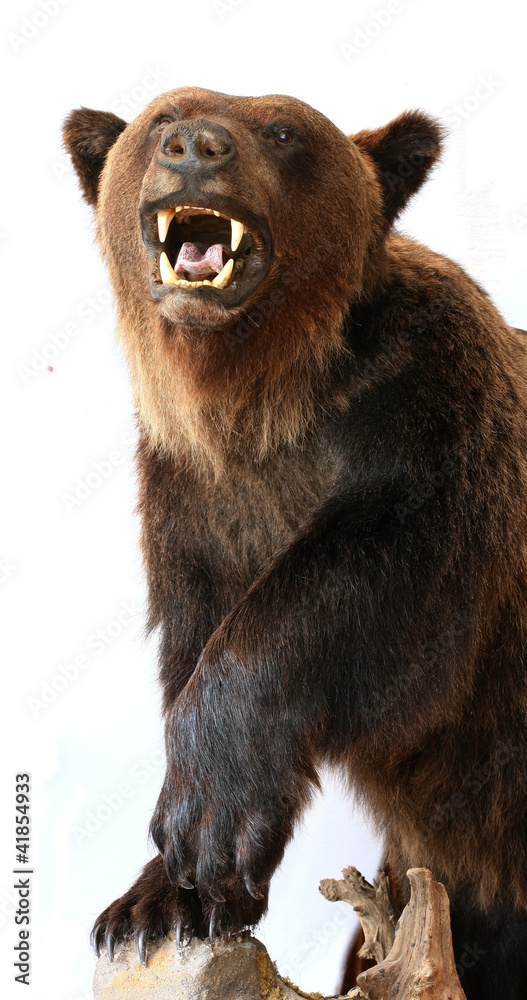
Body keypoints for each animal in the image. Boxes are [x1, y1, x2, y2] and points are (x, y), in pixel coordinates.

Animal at [63, 87, 527, 999]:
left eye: (282, 130)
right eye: (161, 116)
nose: (195, 146)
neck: (262, 399)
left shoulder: (432, 413)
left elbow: (363, 596)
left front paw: (205, 824)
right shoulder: (192, 502)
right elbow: (193, 638)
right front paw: (156, 904)